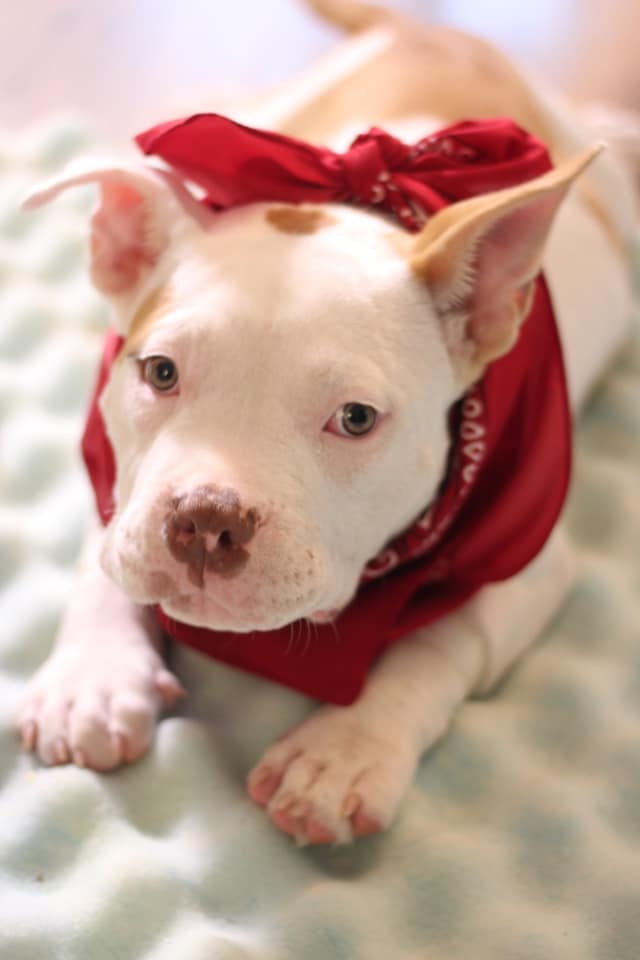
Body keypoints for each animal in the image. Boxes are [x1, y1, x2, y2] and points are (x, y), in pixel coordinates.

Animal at [17, 0, 636, 844]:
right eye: (161, 373)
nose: (206, 521)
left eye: (355, 419)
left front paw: (344, 751)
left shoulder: (530, 558)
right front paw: (94, 675)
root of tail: (434, 34)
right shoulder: (116, 473)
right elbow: (104, 549)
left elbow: (440, 636)